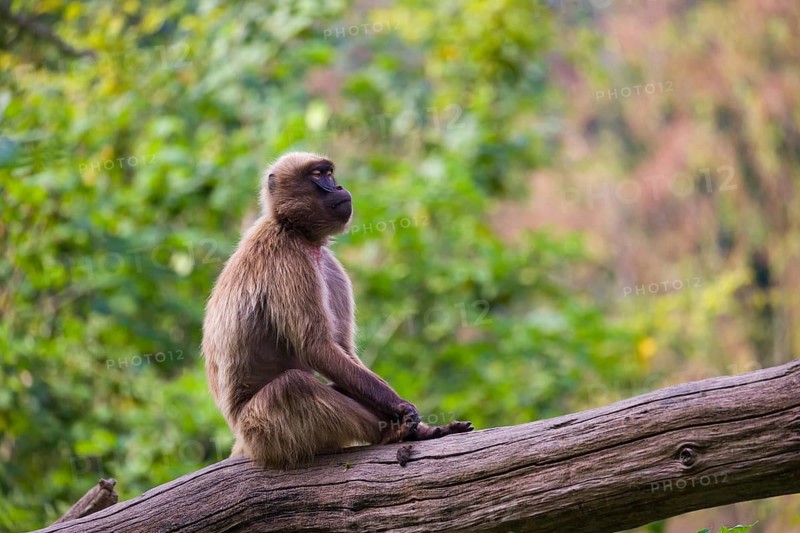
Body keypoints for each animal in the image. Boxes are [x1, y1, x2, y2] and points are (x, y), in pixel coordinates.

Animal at [202, 151, 473, 468]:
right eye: (319, 176)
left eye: (329, 173)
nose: (339, 186)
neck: (292, 228)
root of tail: (241, 440)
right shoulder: (288, 259)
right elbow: (317, 347)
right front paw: (402, 409)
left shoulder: (329, 264)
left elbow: (342, 350)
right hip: (262, 433)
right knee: (294, 386)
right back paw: (391, 434)